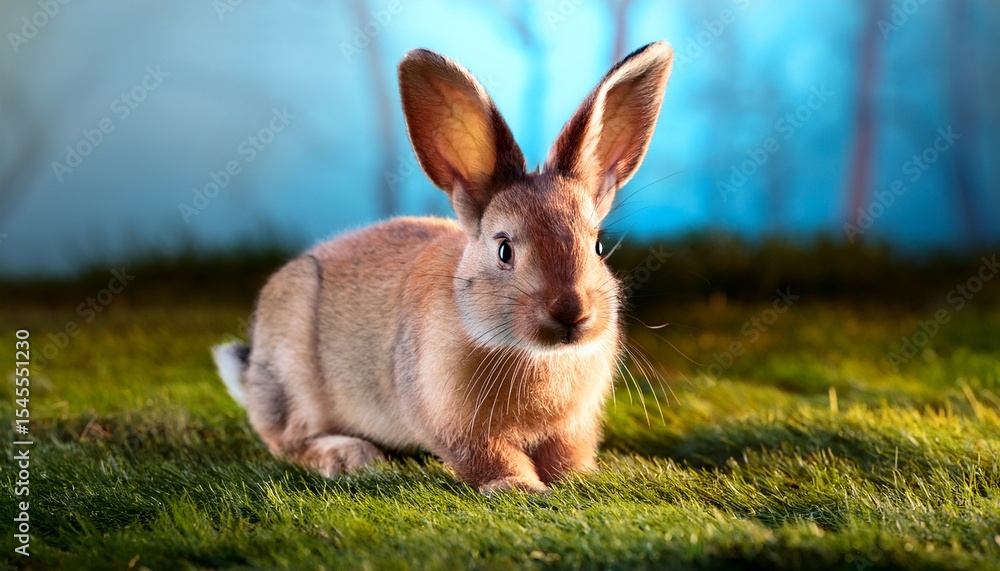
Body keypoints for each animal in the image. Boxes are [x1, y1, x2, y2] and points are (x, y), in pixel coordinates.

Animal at [213, 41, 674, 493]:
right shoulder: (458, 425)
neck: (534, 353)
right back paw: (350, 456)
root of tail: (251, 373)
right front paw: (518, 487)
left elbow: (565, 454)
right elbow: (489, 456)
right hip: (293, 373)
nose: (572, 312)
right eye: (504, 250)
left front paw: (577, 479)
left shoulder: (571, 427)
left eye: (598, 246)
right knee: (289, 439)